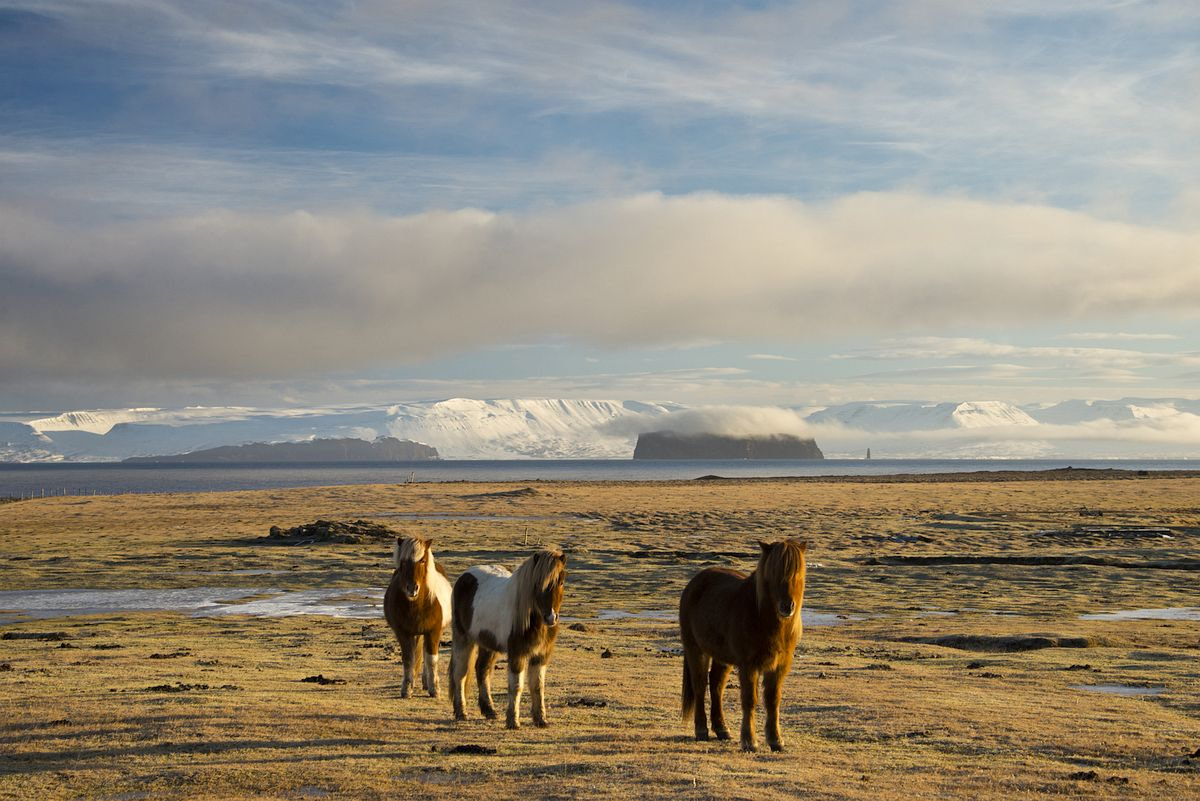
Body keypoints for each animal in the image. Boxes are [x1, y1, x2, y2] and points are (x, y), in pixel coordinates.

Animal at [384, 537, 453, 700]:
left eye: (422, 560)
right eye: (403, 562)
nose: (412, 588)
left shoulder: (433, 632)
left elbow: (431, 659)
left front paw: (435, 689)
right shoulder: (403, 633)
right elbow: (409, 659)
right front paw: (407, 689)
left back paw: (427, 682)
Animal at [451, 546, 566, 729]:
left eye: (561, 582)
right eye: (538, 584)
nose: (551, 618)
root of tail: (465, 575)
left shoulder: (541, 655)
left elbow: (538, 685)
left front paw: (541, 719)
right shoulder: (517, 654)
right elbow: (517, 686)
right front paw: (513, 721)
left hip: (488, 644)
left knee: (482, 670)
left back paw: (489, 710)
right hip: (463, 639)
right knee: (460, 673)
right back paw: (461, 712)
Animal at [686, 537, 806, 753]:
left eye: (797, 572)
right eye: (773, 573)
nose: (787, 606)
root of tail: (695, 582)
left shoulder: (779, 667)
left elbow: (773, 701)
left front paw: (776, 740)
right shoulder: (749, 665)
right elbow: (750, 700)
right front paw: (750, 741)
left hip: (721, 657)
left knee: (716, 686)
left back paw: (722, 730)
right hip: (696, 650)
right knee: (699, 685)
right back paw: (701, 731)